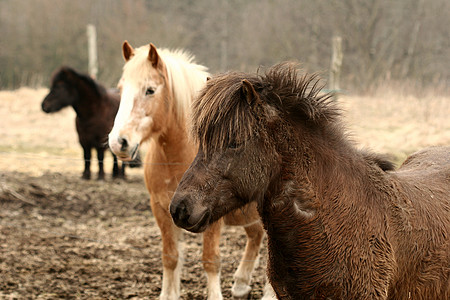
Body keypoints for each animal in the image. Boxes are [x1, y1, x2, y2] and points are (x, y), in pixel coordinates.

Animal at [108, 42, 274, 300]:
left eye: (150, 90)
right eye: (120, 89)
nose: (119, 142)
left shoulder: (210, 216)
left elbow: (210, 260)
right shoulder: (161, 210)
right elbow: (170, 257)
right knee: (255, 235)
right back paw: (241, 284)